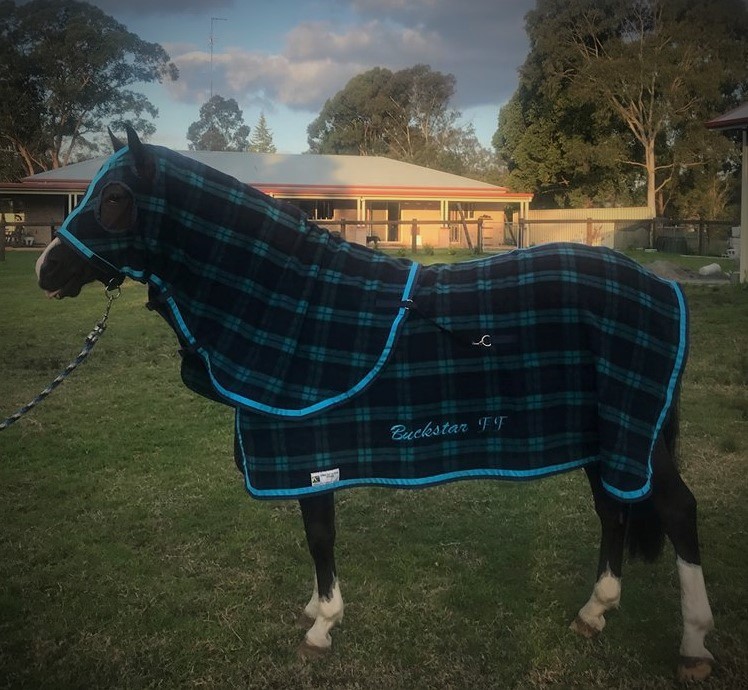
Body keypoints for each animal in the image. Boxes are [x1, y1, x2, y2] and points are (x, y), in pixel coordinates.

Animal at [36, 126, 714, 682]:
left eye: (115, 197)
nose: (46, 269)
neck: (293, 305)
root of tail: (660, 286)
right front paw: (315, 609)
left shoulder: (307, 449)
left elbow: (318, 535)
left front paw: (322, 625)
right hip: (608, 434)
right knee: (613, 509)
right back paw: (594, 612)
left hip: (633, 431)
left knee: (676, 511)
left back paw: (693, 645)